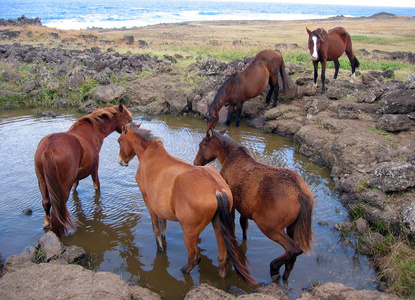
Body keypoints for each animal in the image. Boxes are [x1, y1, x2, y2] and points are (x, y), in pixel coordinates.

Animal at [36, 104, 134, 238]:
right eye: (129, 119)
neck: (93, 131)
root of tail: (48, 149)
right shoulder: (94, 167)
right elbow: (97, 186)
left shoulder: (76, 176)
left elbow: (75, 187)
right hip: (62, 187)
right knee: (57, 209)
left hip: (42, 181)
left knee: (46, 203)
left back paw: (47, 224)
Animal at [117, 122, 256, 284]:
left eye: (119, 140)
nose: (120, 161)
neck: (149, 153)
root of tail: (218, 189)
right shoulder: (159, 206)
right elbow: (163, 226)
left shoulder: (149, 203)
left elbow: (156, 228)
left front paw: (160, 248)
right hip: (219, 226)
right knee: (223, 258)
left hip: (189, 232)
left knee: (194, 258)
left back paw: (182, 271)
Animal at [195, 129, 316, 282]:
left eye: (201, 145)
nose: (196, 162)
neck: (228, 156)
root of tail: (302, 195)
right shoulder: (244, 208)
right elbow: (244, 225)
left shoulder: (232, 205)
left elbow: (233, 226)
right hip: (292, 227)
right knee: (291, 260)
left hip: (269, 226)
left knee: (293, 249)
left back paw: (274, 269)